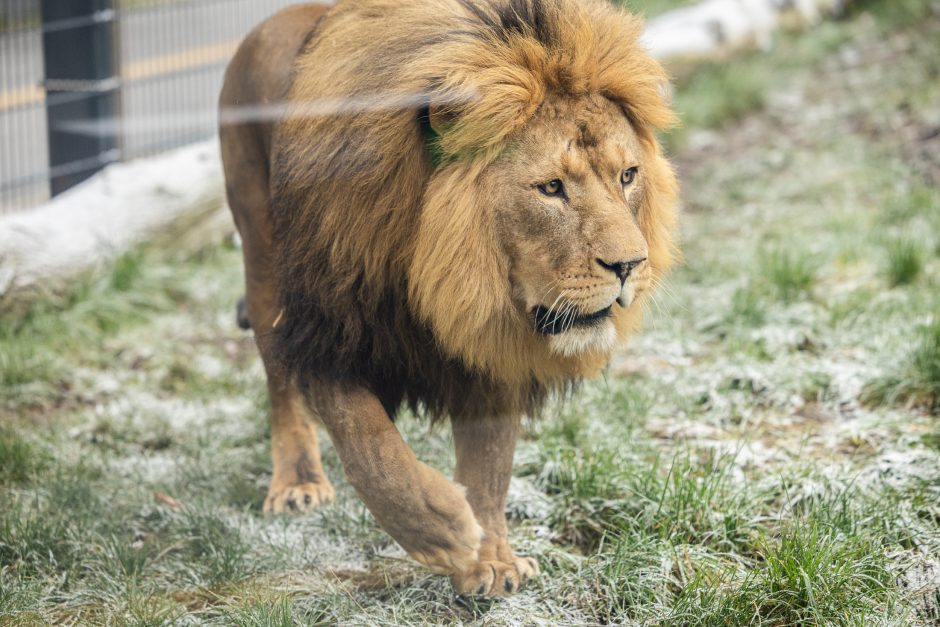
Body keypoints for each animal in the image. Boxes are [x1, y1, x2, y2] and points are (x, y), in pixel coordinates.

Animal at [220, 0, 676, 596]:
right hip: (263, 258)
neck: (445, 285)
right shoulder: (327, 333)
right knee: (279, 382)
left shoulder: (494, 353)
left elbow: (491, 464)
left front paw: (493, 559)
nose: (630, 266)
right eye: (551, 188)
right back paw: (297, 481)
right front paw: (444, 530)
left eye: (627, 176)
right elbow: (374, 450)